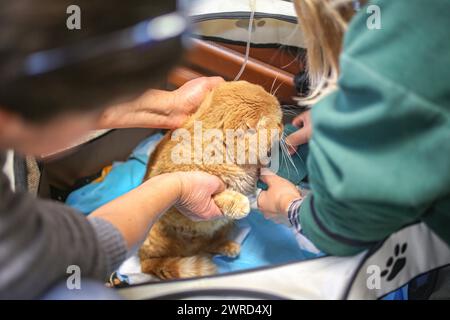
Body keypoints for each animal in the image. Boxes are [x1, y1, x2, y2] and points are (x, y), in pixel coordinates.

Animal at [139, 80, 284, 280]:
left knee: (207, 246)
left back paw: (227, 246)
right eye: (278, 123)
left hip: (220, 229)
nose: (284, 126)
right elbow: (222, 193)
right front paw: (238, 202)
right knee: (150, 265)